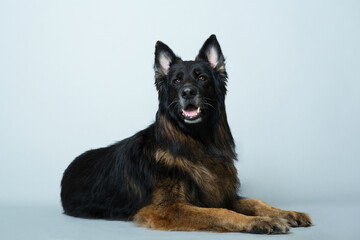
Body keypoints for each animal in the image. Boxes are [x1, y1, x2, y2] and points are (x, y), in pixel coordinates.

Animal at [59, 34, 312, 233]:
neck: (196, 142)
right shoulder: (167, 208)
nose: (188, 92)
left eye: (202, 77)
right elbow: (219, 212)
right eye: (176, 80)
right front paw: (258, 222)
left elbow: (257, 201)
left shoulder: (222, 193)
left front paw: (285, 213)